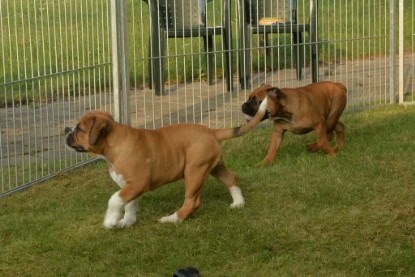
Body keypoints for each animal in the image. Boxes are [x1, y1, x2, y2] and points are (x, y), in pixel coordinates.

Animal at [64, 98, 266, 227]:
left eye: (79, 129)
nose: (66, 129)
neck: (114, 145)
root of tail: (212, 132)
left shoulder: (137, 184)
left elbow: (114, 200)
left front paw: (110, 221)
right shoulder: (129, 187)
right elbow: (129, 204)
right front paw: (127, 222)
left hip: (194, 171)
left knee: (192, 202)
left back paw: (172, 219)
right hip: (214, 166)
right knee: (231, 179)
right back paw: (238, 203)